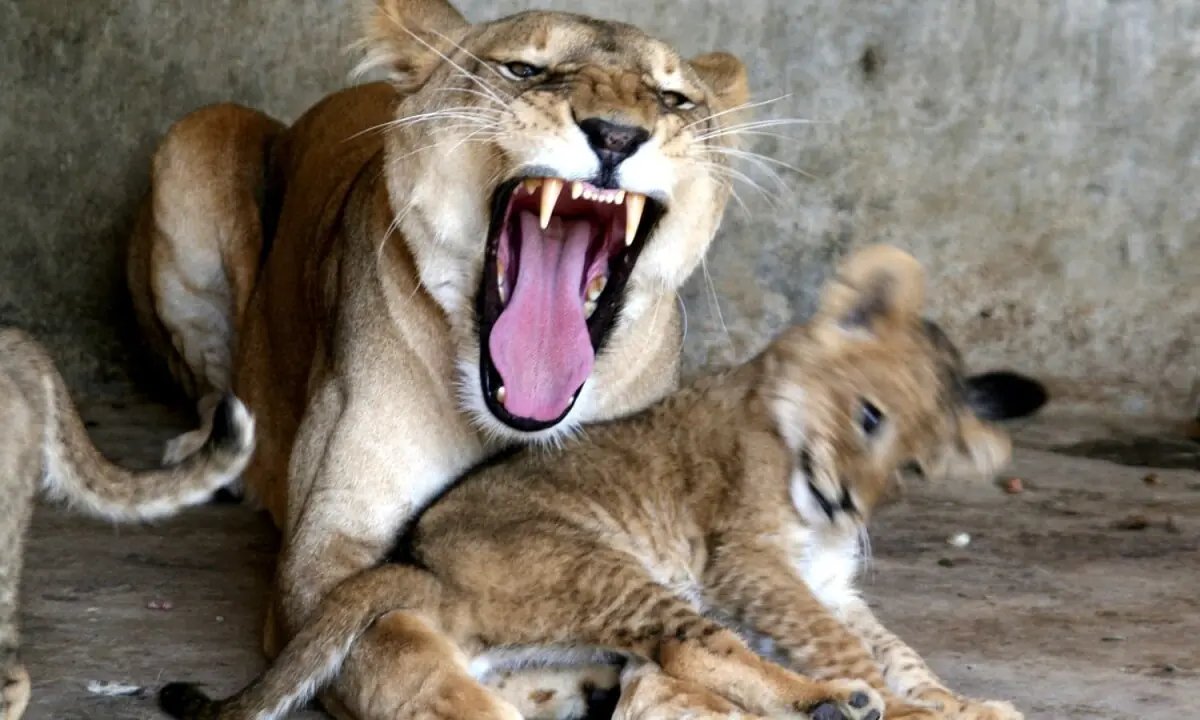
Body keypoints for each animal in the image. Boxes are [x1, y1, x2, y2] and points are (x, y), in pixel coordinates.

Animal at [126, 0, 760, 715]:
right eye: (524, 69)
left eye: (673, 98)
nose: (617, 136)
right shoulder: (319, 561)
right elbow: (399, 655)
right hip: (198, 137)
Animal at [155, 246, 1042, 720]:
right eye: (869, 416)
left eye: (916, 466)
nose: (852, 503)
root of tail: (420, 567)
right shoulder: (749, 562)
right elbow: (849, 647)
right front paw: (914, 706)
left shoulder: (832, 584)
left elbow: (900, 651)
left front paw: (960, 704)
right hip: (603, 570)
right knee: (692, 649)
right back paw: (838, 701)